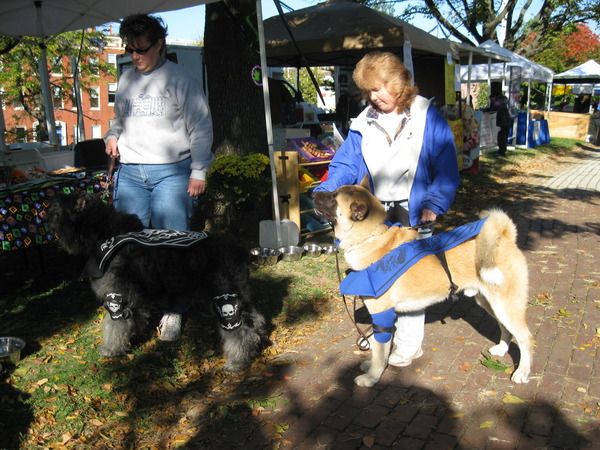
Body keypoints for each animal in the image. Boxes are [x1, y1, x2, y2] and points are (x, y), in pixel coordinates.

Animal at [46, 192, 265, 371]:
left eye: (57, 210)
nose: (47, 217)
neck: (105, 232)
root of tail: (237, 250)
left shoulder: (115, 296)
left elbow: (113, 326)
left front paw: (111, 349)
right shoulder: (132, 297)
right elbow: (134, 319)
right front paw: (134, 338)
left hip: (224, 299)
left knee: (239, 333)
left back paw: (237, 361)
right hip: (239, 295)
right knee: (253, 323)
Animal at [314, 184, 533, 387]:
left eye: (333, 197)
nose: (314, 193)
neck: (370, 238)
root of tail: (504, 236)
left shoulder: (382, 317)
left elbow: (379, 351)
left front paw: (372, 377)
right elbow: (377, 347)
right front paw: (371, 367)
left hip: (506, 305)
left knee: (525, 338)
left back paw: (522, 372)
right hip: (489, 303)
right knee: (506, 329)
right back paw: (502, 349)